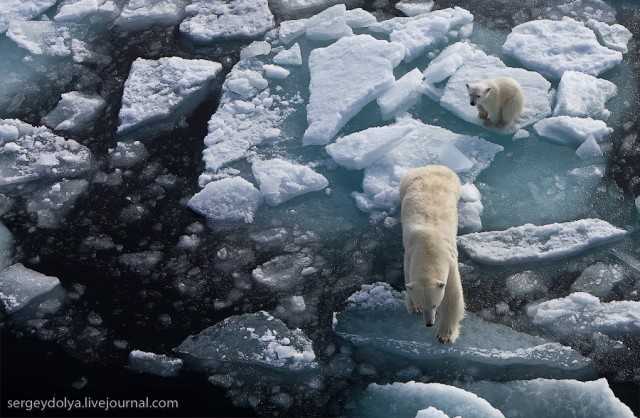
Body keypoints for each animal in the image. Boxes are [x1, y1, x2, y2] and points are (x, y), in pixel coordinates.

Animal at [400, 164, 464, 342]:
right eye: (422, 305)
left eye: (435, 304)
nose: (429, 324)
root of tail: (430, 166)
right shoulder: (409, 256)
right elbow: (408, 280)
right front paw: (413, 308)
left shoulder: (450, 262)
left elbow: (453, 295)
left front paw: (445, 335)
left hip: (454, 183)